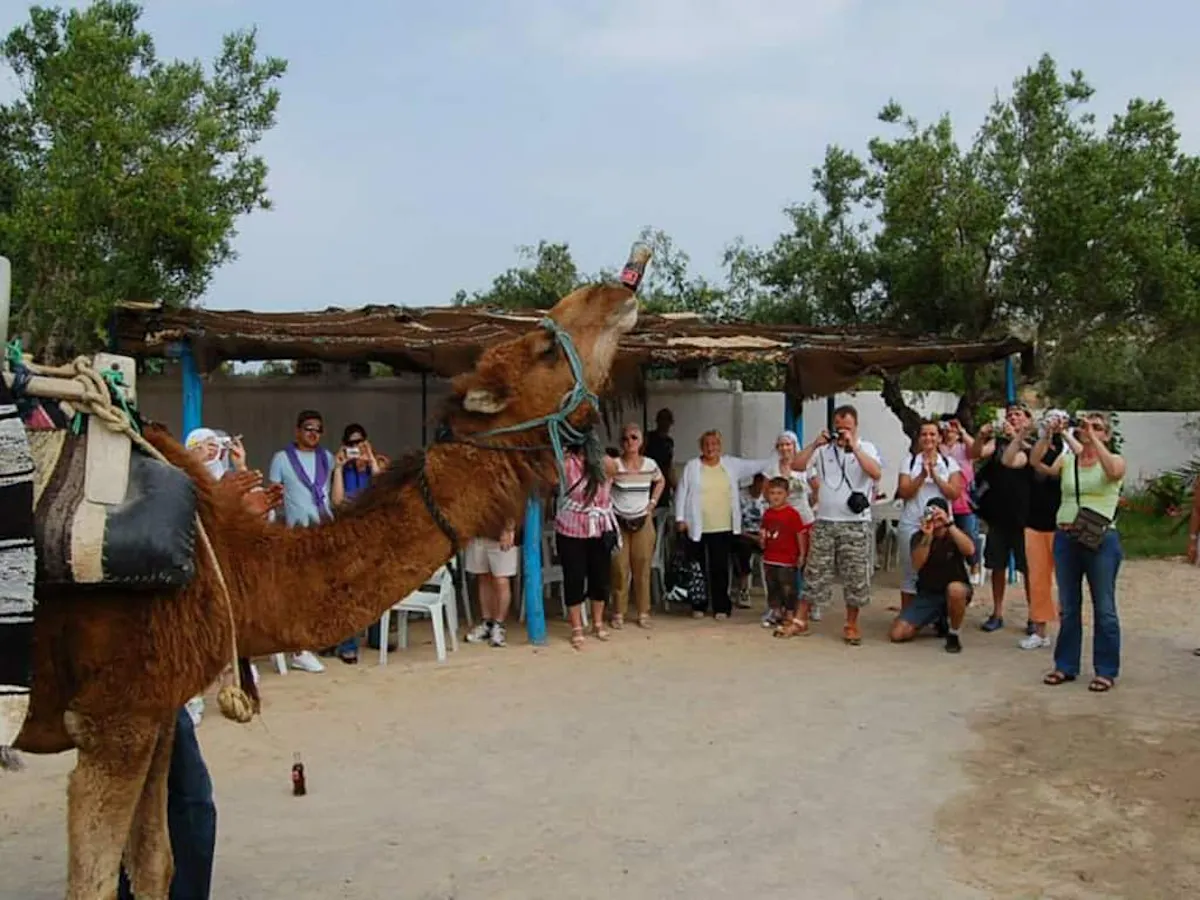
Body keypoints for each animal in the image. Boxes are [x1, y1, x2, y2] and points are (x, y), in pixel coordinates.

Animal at [12, 280, 640, 899]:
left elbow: (152, 865)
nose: (616, 291)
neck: (229, 564)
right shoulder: (112, 724)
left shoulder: (155, 713)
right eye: (545, 348)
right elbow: (94, 883)